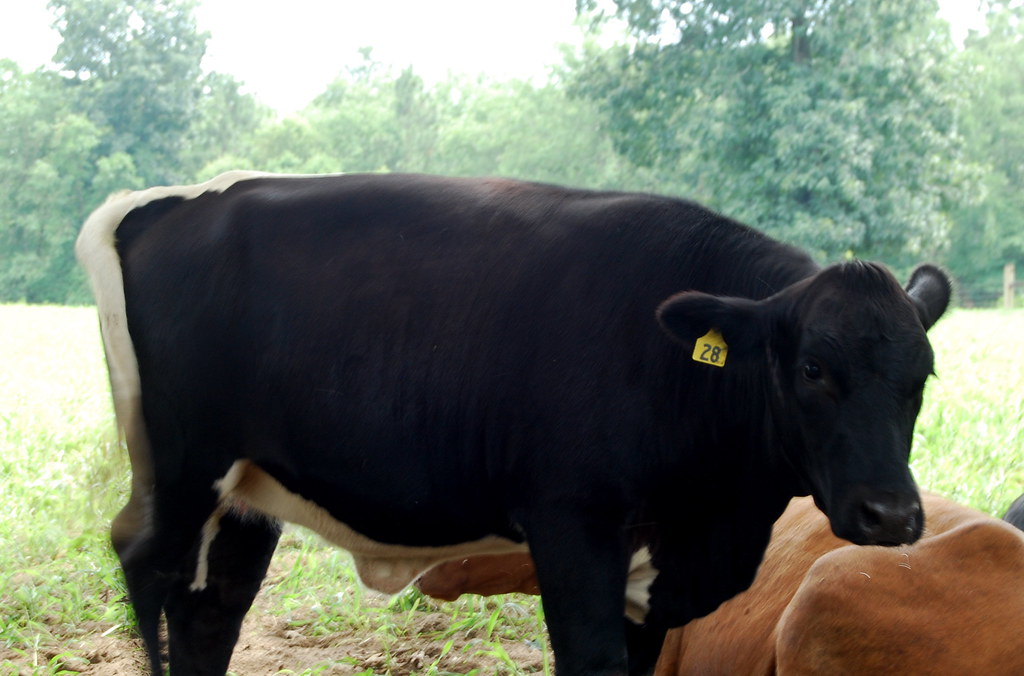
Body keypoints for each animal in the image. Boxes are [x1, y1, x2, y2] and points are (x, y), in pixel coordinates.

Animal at [76, 171, 951, 676]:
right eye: (813, 371)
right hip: (182, 467)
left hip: (248, 492)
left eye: (923, 376)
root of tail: (175, 202)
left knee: (210, 612)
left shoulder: (654, 582)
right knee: (148, 565)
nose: (893, 515)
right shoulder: (573, 525)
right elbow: (589, 660)